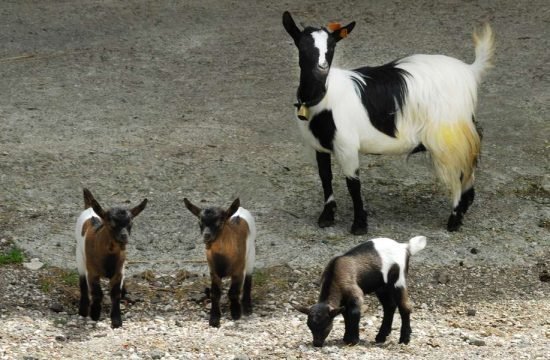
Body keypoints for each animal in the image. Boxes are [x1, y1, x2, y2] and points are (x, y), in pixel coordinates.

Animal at [284, 11, 496, 233]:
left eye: (332, 46)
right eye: (302, 46)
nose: (321, 68)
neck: (323, 97)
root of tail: (470, 71)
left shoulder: (347, 146)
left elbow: (353, 184)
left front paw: (359, 225)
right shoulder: (320, 145)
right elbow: (325, 177)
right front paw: (327, 216)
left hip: (449, 135)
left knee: (458, 171)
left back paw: (454, 220)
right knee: (468, 167)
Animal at [296, 235, 430, 348]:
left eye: (325, 326)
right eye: (309, 327)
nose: (317, 344)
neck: (334, 276)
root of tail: (405, 247)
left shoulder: (355, 294)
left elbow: (354, 313)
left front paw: (353, 340)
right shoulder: (343, 302)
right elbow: (346, 315)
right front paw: (346, 337)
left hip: (399, 279)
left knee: (404, 307)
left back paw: (404, 339)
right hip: (381, 286)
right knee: (389, 306)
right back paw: (381, 336)